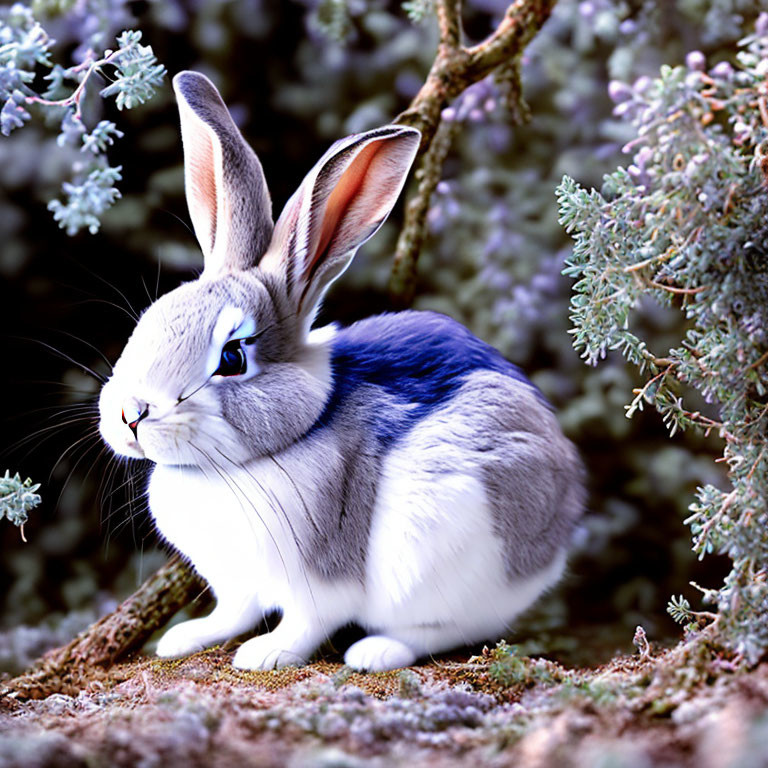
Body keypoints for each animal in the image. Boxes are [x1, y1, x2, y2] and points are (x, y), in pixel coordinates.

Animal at [99, 73, 584, 672]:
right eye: (150, 319)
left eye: (232, 358)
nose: (131, 414)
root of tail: (566, 510)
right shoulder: (235, 583)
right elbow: (231, 612)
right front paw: (185, 638)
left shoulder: (320, 581)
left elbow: (305, 624)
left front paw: (265, 655)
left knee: (453, 628)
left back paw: (375, 652)